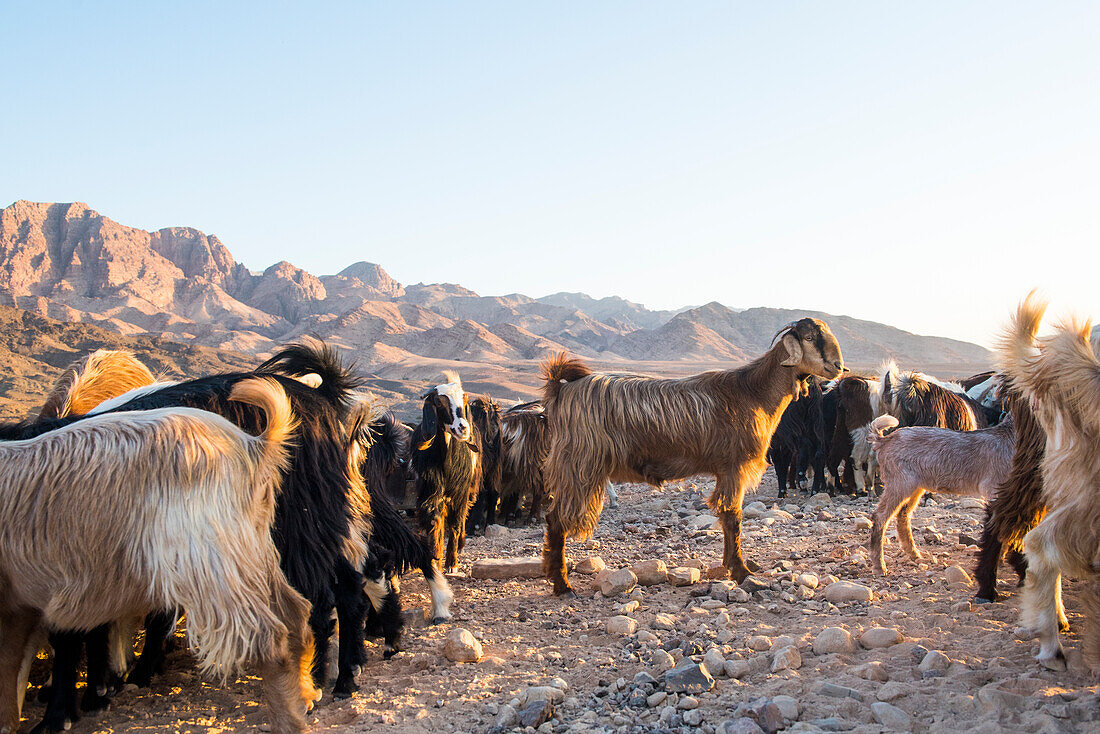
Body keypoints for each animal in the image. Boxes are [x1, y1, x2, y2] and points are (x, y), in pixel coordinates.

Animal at [0, 378, 319, 734]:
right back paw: (304, 694)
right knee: (295, 615)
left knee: (266, 638)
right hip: (247, 549)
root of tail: (252, 446)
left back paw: (289, 721)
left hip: (205, 559)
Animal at [413, 369, 481, 572]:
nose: (463, 428)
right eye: (438, 402)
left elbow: (457, 523)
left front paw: (452, 563)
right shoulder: (431, 491)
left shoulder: (461, 492)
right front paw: (435, 559)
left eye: (464, 400)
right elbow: (435, 521)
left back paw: (460, 545)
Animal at [539, 316, 840, 598]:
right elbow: (733, 517)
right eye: (809, 337)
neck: (753, 391)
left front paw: (734, 565)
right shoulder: (733, 466)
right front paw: (741, 571)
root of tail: (562, 389)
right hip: (578, 465)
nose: (838, 367)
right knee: (555, 519)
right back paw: (562, 585)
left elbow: (728, 516)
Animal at [866, 413, 1012, 572]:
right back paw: (879, 565)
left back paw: (914, 554)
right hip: (900, 483)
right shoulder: (994, 488)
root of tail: (884, 440)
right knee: (881, 516)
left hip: (916, 487)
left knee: (903, 514)